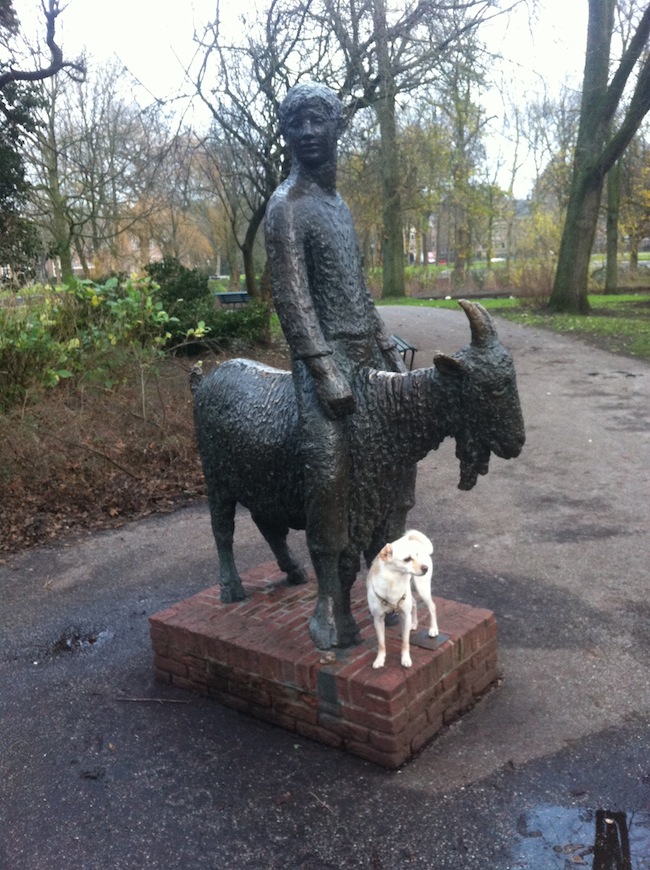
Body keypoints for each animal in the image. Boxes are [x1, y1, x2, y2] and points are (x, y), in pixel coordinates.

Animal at [366, 529, 438, 668]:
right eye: (407, 559)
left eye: (416, 555)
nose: (425, 568)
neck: (394, 582)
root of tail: (414, 540)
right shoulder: (378, 619)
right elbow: (381, 643)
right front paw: (380, 659)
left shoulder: (404, 615)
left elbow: (405, 642)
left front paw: (406, 659)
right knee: (414, 603)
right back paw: (414, 624)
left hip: (422, 588)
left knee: (432, 606)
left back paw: (433, 629)